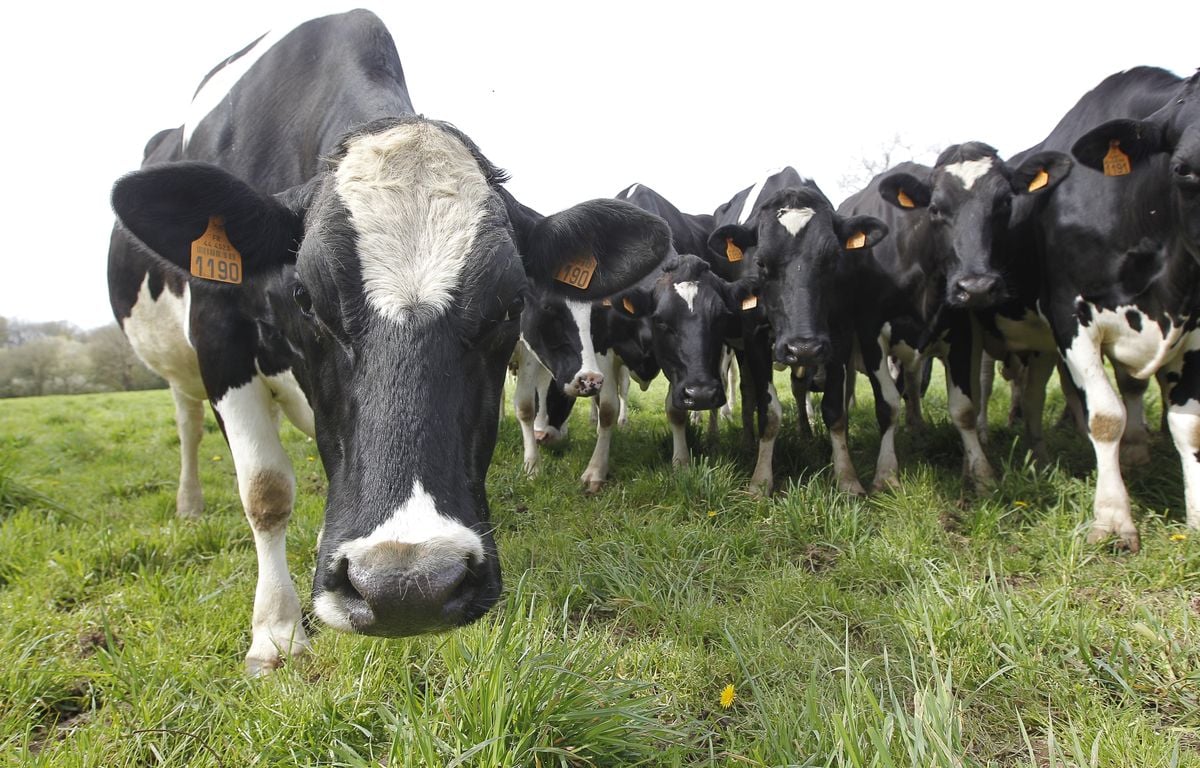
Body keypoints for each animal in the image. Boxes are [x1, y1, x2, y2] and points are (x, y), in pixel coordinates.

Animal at [108, 10, 672, 672]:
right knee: (189, 424)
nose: (408, 588)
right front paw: (276, 630)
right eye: (304, 296)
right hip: (180, 366)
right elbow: (265, 490)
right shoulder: (219, 334)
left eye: (512, 303)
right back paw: (190, 503)